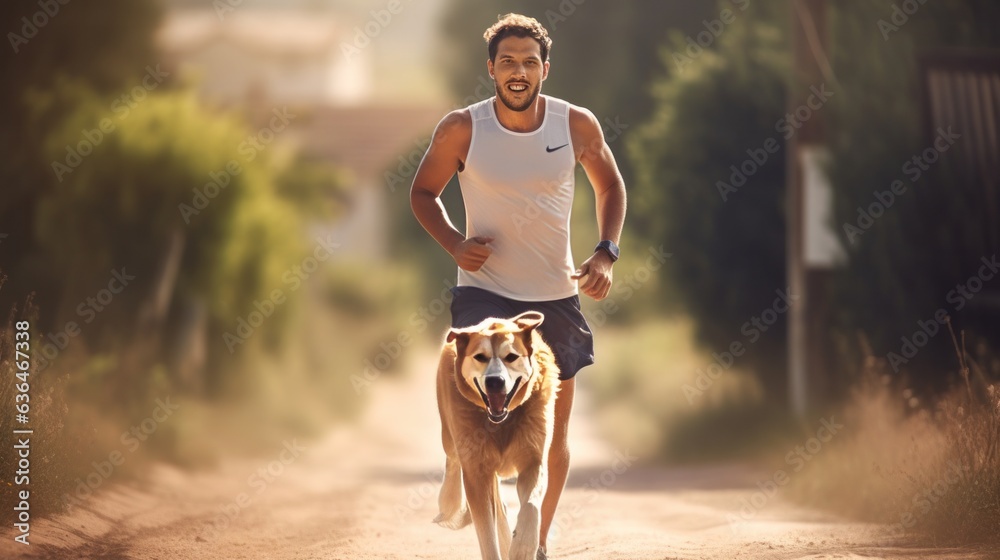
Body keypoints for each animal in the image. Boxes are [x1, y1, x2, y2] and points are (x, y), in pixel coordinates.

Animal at [434, 310, 564, 560]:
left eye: (511, 357)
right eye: (480, 357)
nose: (495, 381)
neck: (500, 423)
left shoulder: (532, 459)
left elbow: (531, 506)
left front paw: (522, 547)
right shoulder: (477, 471)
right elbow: (486, 530)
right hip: (452, 436)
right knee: (452, 460)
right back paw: (448, 503)